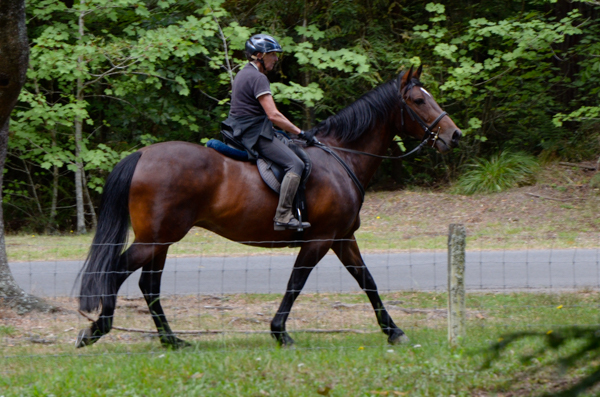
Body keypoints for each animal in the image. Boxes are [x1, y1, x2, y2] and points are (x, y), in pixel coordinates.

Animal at [74, 66, 460, 348]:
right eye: (418, 100)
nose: (454, 135)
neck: (342, 157)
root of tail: (142, 155)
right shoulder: (320, 240)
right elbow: (296, 283)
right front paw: (279, 331)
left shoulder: (342, 238)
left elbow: (368, 282)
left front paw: (393, 330)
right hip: (156, 238)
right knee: (118, 273)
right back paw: (98, 329)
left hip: (161, 240)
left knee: (148, 286)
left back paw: (172, 340)